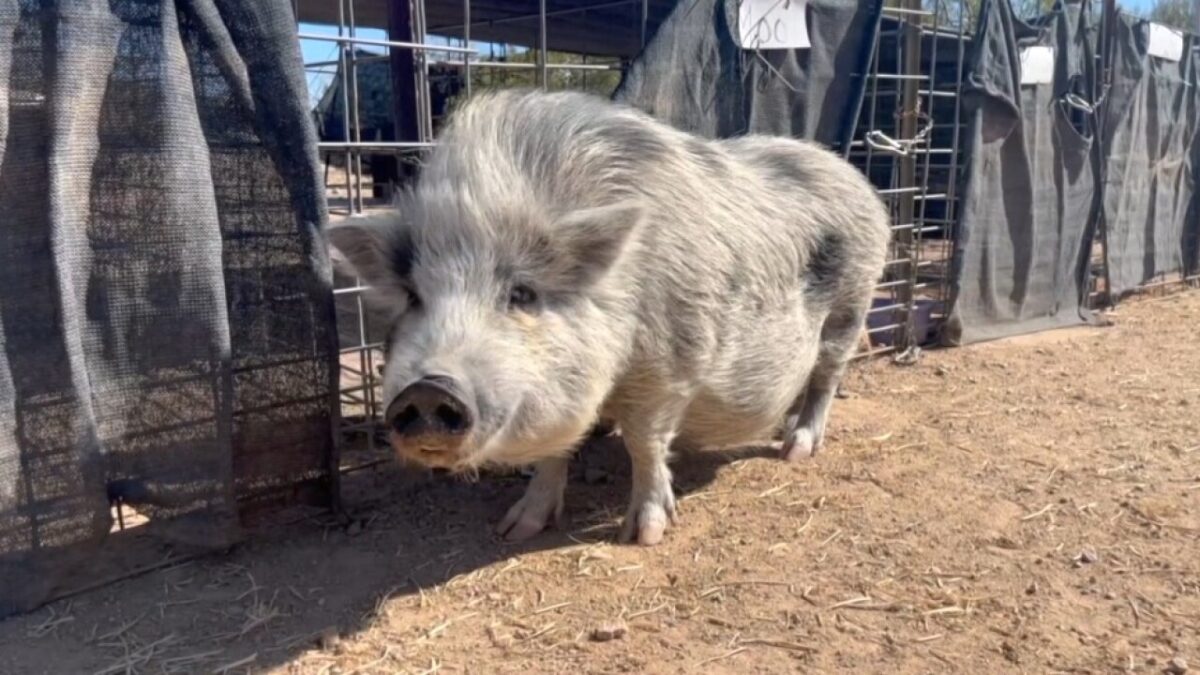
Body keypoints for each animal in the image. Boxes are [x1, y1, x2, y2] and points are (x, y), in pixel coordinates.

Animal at [326, 89, 890, 546]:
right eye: (413, 296)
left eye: (523, 293)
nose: (427, 390)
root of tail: (854, 177)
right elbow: (555, 450)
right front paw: (515, 529)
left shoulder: (671, 363)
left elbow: (645, 443)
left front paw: (643, 536)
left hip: (852, 304)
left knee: (826, 378)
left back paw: (796, 448)